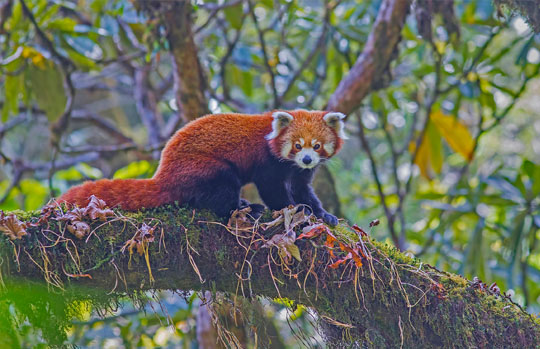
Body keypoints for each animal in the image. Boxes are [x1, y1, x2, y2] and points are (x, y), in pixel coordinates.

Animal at [58, 109, 346, 224]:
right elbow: (273, 189)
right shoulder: (268, 162)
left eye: (316, 146)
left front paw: (323, 214)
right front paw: (292, 210)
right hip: (203, 167)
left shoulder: (299, 172)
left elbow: (303, 189)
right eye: (297, 146)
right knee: (222, 189)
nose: (306, 159)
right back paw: (243, 207)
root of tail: (163, 173)